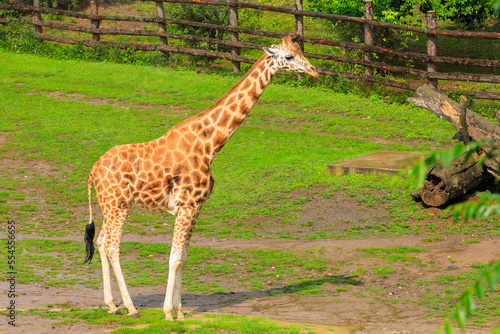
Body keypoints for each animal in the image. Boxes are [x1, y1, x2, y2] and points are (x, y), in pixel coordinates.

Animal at [82, 34, 318, 320]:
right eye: (289, 56)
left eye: (301, 51)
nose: (314, 71)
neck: (210, 145)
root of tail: (93, 170)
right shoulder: (186, 206)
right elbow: (173, 258)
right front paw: (168, 313)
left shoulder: (196, 209)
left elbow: (183, 258)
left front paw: (181, 311)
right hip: (118, 206)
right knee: (112, 246)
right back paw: (130, 307)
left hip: (110, 206)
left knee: (101, 241)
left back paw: (112, 305)